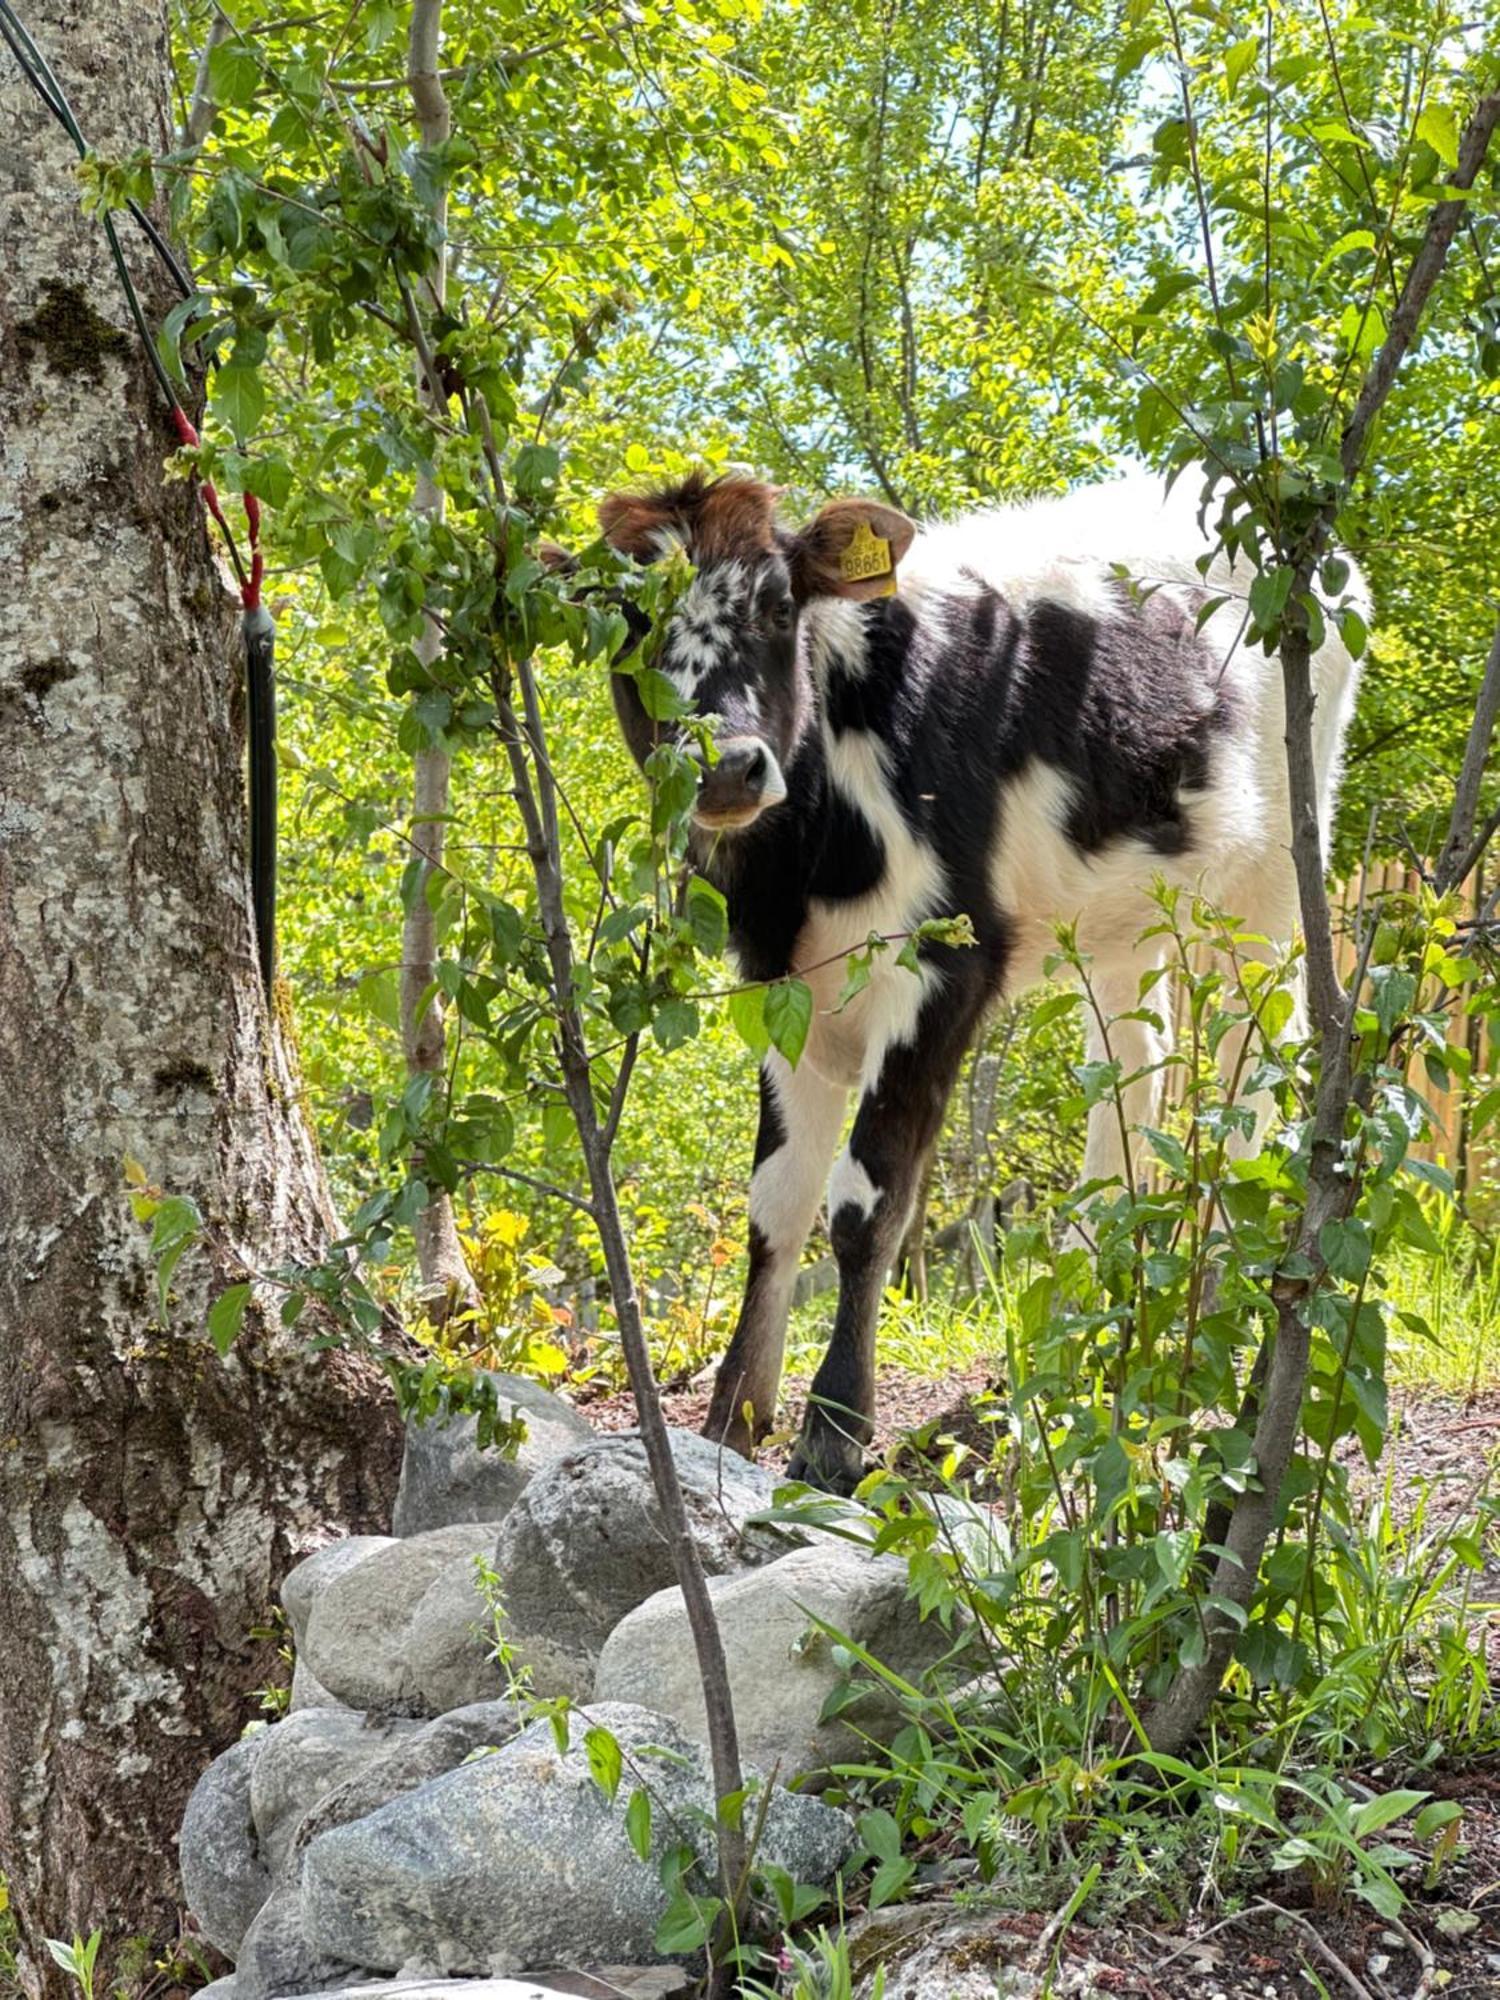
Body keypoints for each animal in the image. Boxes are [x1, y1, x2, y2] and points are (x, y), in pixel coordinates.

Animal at [604, 476, 1376, 1496]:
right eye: (624, 622)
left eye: (777, 605)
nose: (725, 767)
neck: (799, 868)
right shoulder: (781, 986)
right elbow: (776, 1203)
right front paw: (734, 1414)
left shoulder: (942, 967)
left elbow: (865, 1206)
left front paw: (833, 1434)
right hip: (1127, 914)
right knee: (1135, 1069)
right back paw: (1085, 1323)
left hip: (1275, 879)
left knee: (1254, 1069)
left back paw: (1230, 1294)